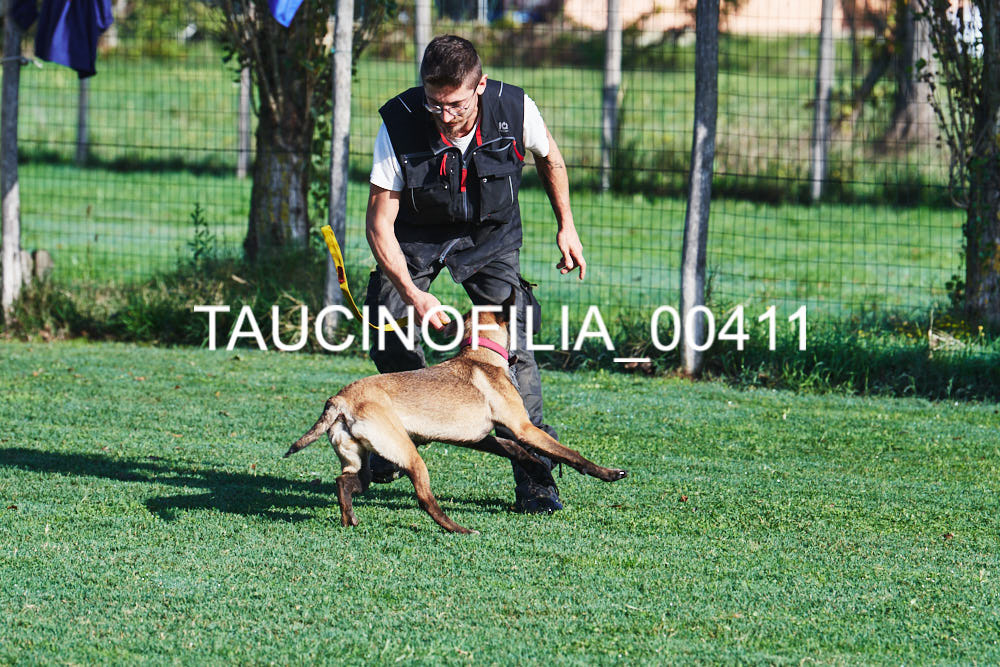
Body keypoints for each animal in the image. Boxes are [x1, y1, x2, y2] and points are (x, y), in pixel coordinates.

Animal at [285, 293, 627, 533]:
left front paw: (540, 471)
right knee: (425, 499)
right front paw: (609, 473)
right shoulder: (524, 427)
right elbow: (570, 453)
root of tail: (341, 399)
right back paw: (460, 529)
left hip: (360, 462)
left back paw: (349, 520)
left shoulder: (479, 438)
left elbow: (515, 449)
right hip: (408, 454)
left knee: (343, 483)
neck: (480, 355)